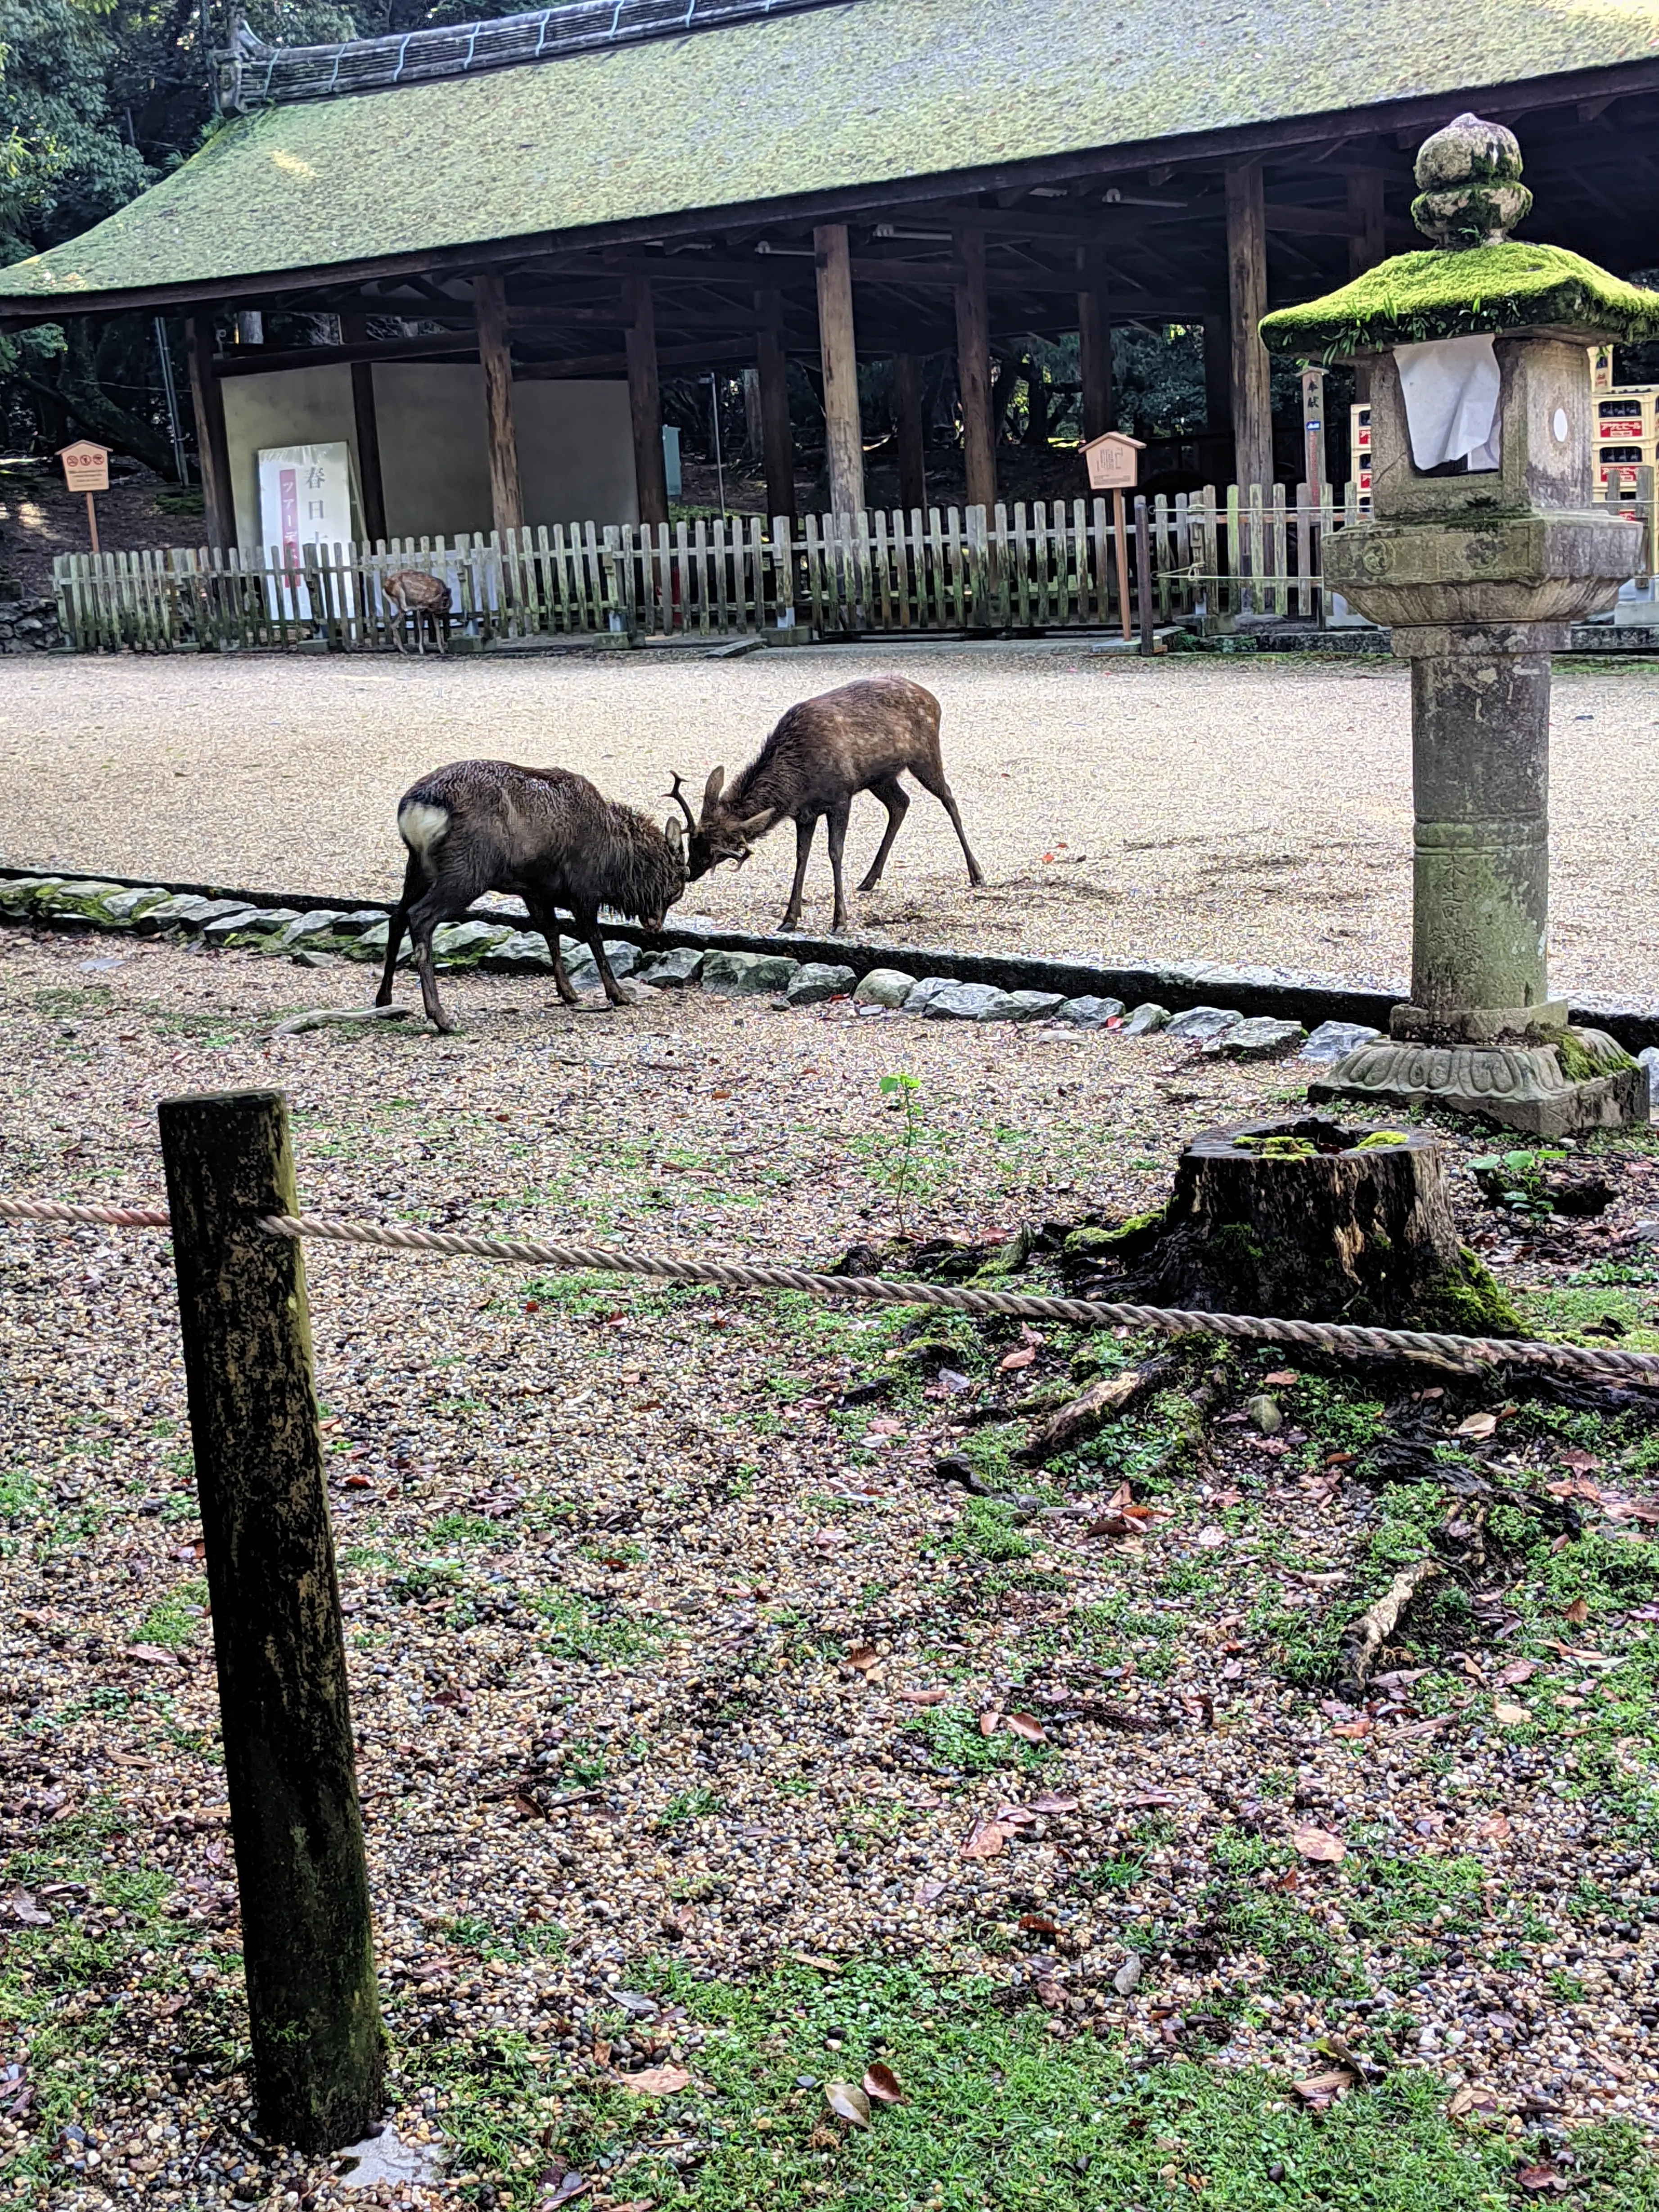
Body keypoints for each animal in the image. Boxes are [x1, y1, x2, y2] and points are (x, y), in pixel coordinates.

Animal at [378, 756, 690, 1030]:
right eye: (678, 880)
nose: (656, 926)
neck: (614, 856)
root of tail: (414, 810)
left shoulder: (535, 890)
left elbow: (551, 932)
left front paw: (568, 992)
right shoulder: (584, 889)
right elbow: (594, 939)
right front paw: (617, 994)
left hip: (418, 867)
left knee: (397, 916)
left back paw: (385, 999)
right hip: (466, 870)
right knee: (420, 917)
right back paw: (440, 1017)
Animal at [383, 566, 451, 650]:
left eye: (445, 608)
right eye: (444, 603)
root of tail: (385, 587)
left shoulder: (434, 613)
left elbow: (437, 627)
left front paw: (442, 650)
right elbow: (421, 627)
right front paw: (422, 650)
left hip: (398, 603)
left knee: (393, 623)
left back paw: (404, 650)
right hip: (399, 590)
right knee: (404, 608)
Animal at [672, 664, 986, 925]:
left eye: (715, 850)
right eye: (693, 842)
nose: (690, 872)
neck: (797, 778)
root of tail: (934, 700)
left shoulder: (840, 797)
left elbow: (835, 852)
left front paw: (840, 920)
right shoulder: (805, 813)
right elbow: (802, 856)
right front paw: (790, 918)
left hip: (925, 754)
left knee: (949, 799)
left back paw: (977, 874)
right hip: (880, 778)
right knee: (901, 803)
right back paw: (870, 879)